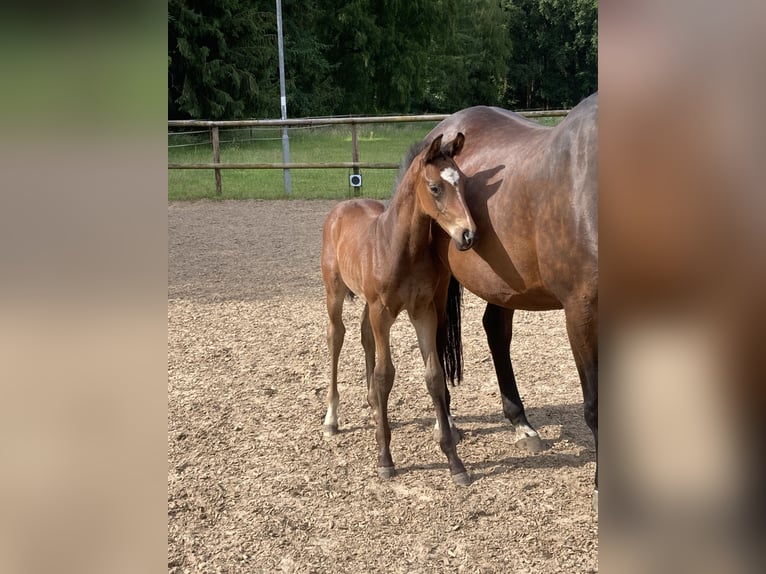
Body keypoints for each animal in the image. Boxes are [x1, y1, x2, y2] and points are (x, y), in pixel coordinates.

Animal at [320, 134, 476, 486]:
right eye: (435, 187)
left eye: (463, 182)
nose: (468, 234)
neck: (402, 248)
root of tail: (342, 207)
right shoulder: (383, 312)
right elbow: (384, 374)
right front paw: (385, 457)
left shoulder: (422, 311)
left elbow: (434, 376)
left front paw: (454, 461)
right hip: (335, 292)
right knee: (337, 336)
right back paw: (332, 418)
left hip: (368, 303)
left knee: (363, 334)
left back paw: (371, 404)